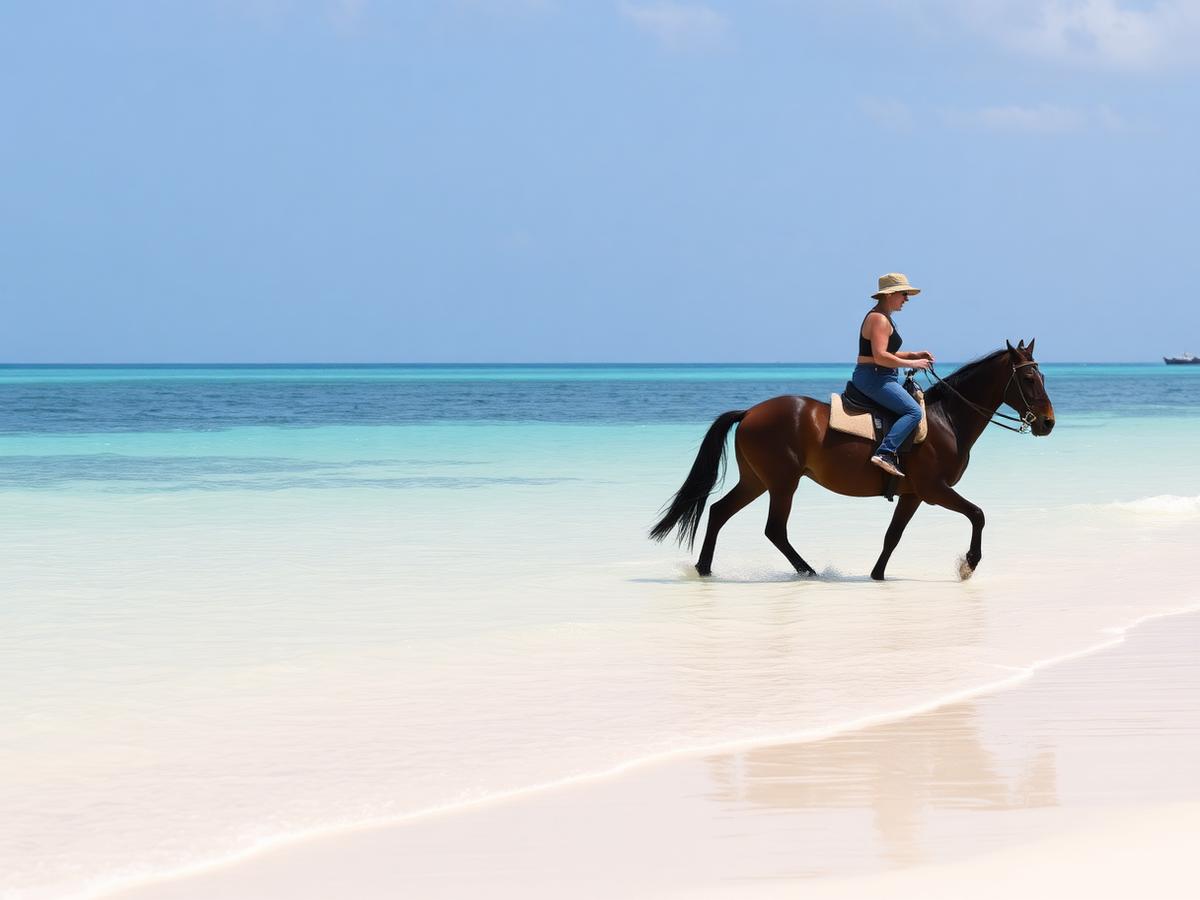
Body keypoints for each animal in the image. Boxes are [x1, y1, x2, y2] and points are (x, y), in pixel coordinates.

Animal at [650, 340, 1055, 581]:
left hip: (756, 480)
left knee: (719, 511)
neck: (947, 419)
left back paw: (705, 570)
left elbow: (893, 535)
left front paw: (877, 575)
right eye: (1029, 379)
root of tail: (750, 412)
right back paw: (810, 572)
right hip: (782, 483)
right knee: (774, 529)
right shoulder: (934, 490)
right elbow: (977, 514)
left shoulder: (913, 495)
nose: (1048, 423)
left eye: (1042, 376)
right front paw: (968, 564)